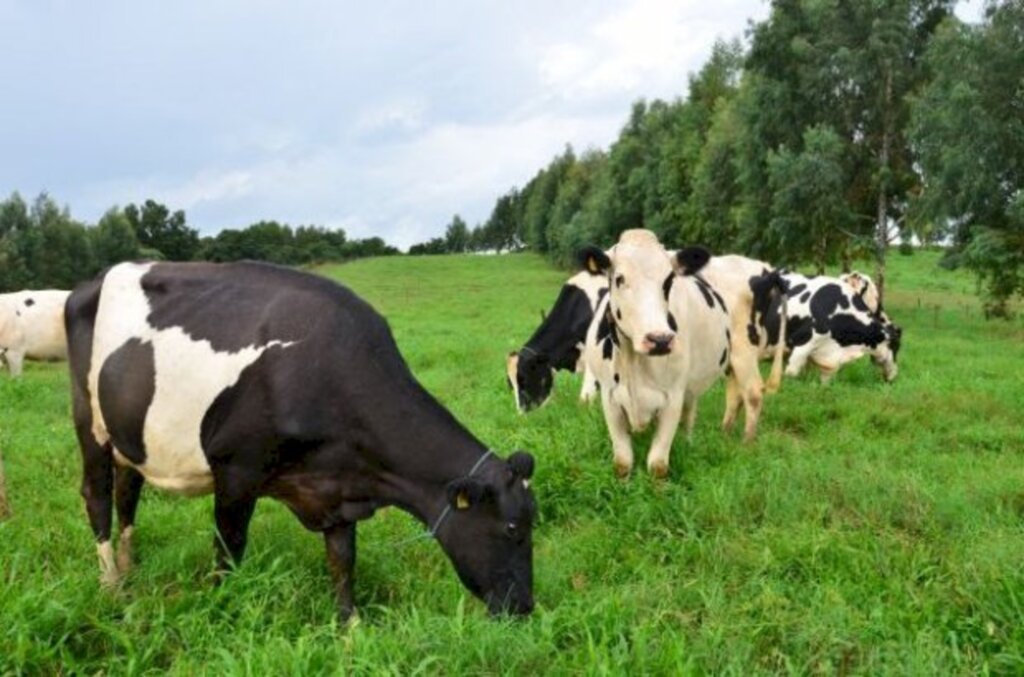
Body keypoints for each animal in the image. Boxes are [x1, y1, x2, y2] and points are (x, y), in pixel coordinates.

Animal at [65, 260, 540, 618]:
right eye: (512, 528)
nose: (525, 606)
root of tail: (88, 284)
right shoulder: (236, 471)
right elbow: (228, 552)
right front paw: (221, 610)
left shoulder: (336, 486)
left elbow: (343, 562)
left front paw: (351, 629)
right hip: (90, 423)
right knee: (97, 495)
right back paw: (111, 584)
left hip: (131, 435)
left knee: (128, 493)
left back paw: (128, 569)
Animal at [577, 229, 737, 477]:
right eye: (619, 279)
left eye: (669, 280)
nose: (659, 340)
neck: (632, 363)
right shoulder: (609, 396)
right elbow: (622, 461)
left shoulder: (673, 397)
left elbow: (658, 464)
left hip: (691, 389)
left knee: (689, 414)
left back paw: (687, 441)